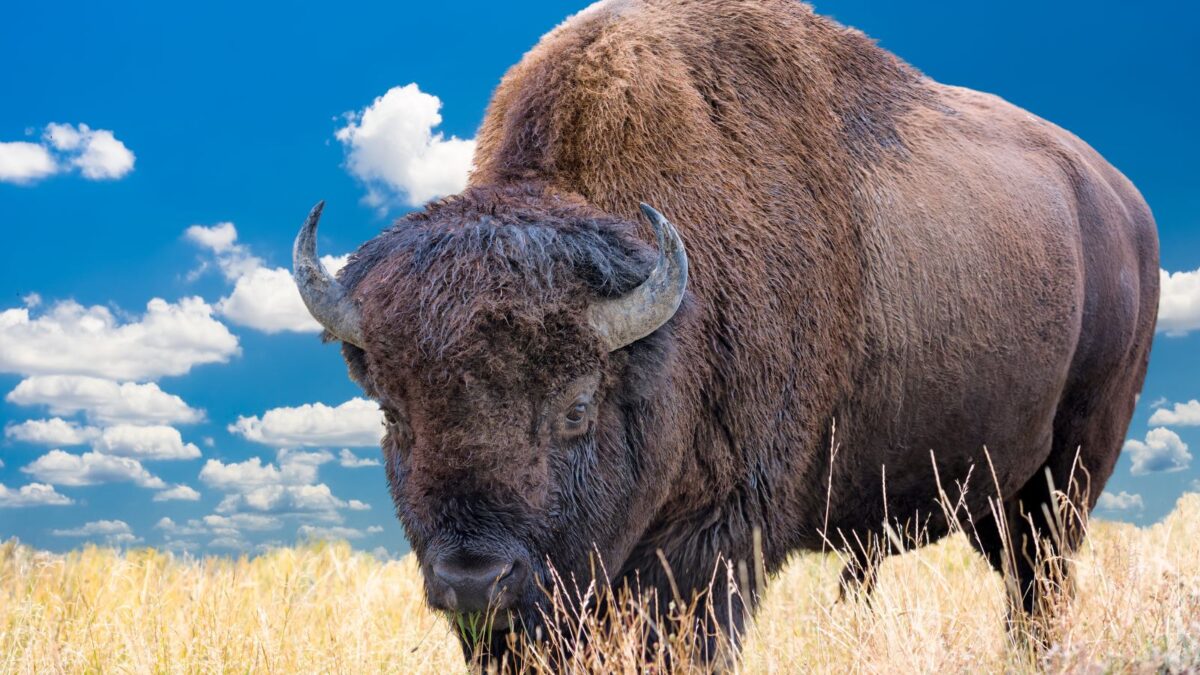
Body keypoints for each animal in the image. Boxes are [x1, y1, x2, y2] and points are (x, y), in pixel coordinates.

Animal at [294, 0, 1158, 665]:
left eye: (577, 405)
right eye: (393, 412)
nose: (473, 579)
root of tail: (1124, 202)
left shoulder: (710, 546)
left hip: (1068, 473)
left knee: (1041, 580)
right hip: (994, 494)